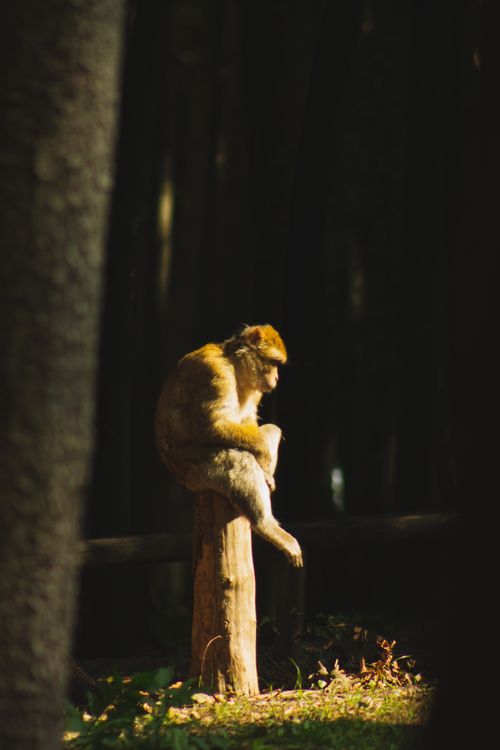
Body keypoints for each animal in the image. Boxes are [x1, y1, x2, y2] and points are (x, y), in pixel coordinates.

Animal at [154, 324, 303, 567]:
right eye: (272, 363)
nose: (276, 377)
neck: (233, 365)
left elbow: (249, 420)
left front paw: (265, 468)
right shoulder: (214, 371)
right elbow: (216, 424)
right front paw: (263, 458)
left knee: (271, 430)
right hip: (195, 471)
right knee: (237, 456)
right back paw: (265, 524)